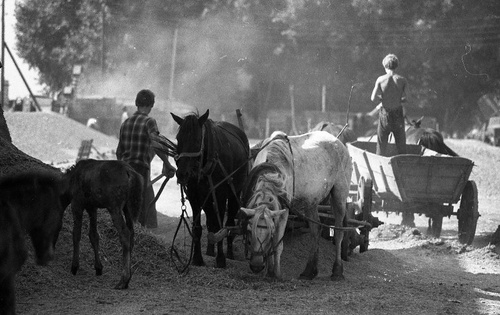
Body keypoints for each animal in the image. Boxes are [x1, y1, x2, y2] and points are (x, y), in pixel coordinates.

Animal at [63, 159, 144, 290]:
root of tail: (130, 172)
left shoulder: (77, 203)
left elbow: (76, 234)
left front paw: (74, 266)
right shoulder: (92, 207)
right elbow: (94, 235)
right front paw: (98, 268)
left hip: (114, 207)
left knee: (125, 234)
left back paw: (123, 280)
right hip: (128, 208)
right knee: (132, 233)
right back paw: (127, 279)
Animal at [172, 110, 250, 268]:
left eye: (197, 140)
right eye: (178, 139)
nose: (182, 174)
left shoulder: (220, 195)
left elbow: (220, 227)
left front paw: (221, 259)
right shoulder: (194, 195)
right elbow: (198, 228)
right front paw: (197, 258)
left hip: (235, 192)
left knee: (229, 223)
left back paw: (230, 253)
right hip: (207, 199)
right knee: (211, 222)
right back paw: (210, 250)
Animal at [239, 131, 352, 282]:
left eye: (269, 232)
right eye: (249, 230)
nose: (256, 266)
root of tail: (339, 143)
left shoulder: (283, 211)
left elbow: (277, 243)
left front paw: (276, 273)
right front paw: (269, 272)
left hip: (340, 195)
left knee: (339, 232)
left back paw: (337, 271)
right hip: (311, 201)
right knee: (315, 230)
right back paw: (309, 270)